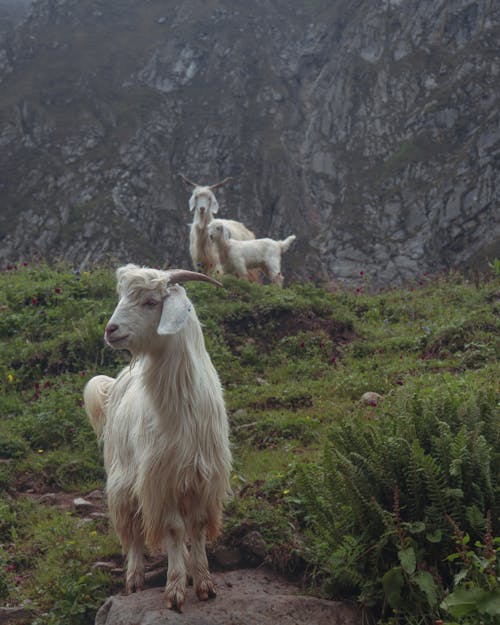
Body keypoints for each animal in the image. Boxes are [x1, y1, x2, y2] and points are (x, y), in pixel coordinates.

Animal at [84, 262, 232, 608]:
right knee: (132, 532)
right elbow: (175, 530)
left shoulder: (202, 477)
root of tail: (118, 382)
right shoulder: (160, 478)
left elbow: (197, 527)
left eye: (151, 302)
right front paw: (175, 590)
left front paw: (203, 582)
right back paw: (134, 579)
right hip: (123, 479)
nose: (111, 330)